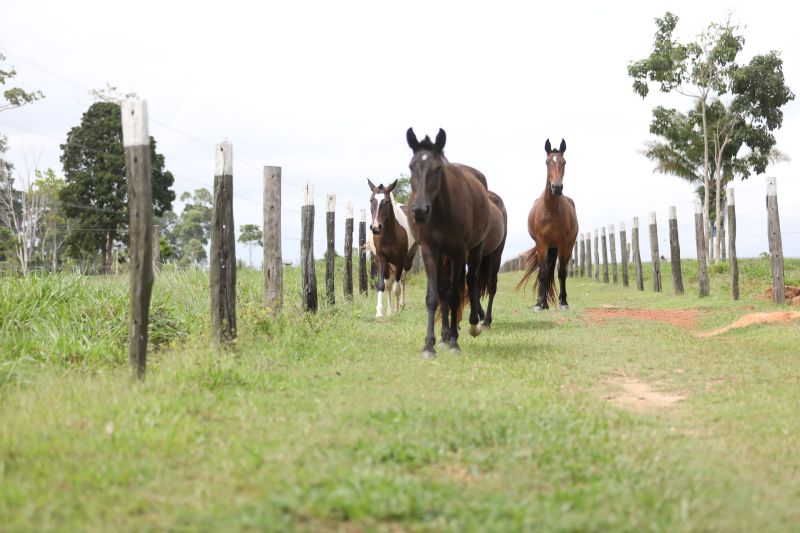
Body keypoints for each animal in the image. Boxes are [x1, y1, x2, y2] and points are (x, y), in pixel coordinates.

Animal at [368, 179, 418, 316]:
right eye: (371, 200)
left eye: (386, 201)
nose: (376, 227)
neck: (389, 235)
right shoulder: (381, 259)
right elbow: (384, 285)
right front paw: (382, 311)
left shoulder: (400, 261)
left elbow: (397, 288)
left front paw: (396, 311)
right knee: (391, 283)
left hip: (408, 261)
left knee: (402, 281)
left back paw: (401, 305)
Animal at [406, 127, 494, 356]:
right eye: (411, 166)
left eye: (437, 168)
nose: (420, 210)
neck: (442, 211)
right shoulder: (430, 250)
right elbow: (434, 296)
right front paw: (430, 344)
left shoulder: (459, 252)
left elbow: (456, 294)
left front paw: (455, 341)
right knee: (445, 289)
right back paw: (445, 335)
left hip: (474, 250)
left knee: (471, 280)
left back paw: (471, 325)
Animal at [520, 139, 580, 310]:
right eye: (547, 162)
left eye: (564, 162)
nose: (557, 187)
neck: (551, 210)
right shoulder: (541, 242)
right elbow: (543, 272)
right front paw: (540, 304)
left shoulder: (563, 242)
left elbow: (561, 272)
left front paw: (563, 302)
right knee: (545, 271)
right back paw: (542, 302)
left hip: (564, 246)